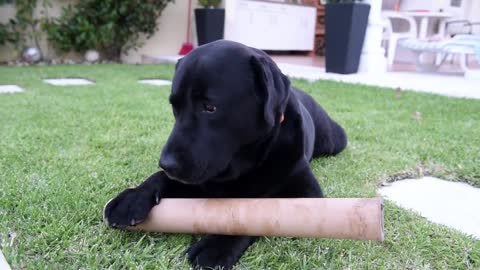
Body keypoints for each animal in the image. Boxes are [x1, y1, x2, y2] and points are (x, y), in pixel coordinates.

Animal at [104, 39, 344, 268]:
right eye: (175, 106)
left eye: (210, 107)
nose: (167, 164)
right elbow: (158, 179)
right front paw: (133, 197)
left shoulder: (307, 194)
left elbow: (260, 208)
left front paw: (217, 244)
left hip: (335, 140)